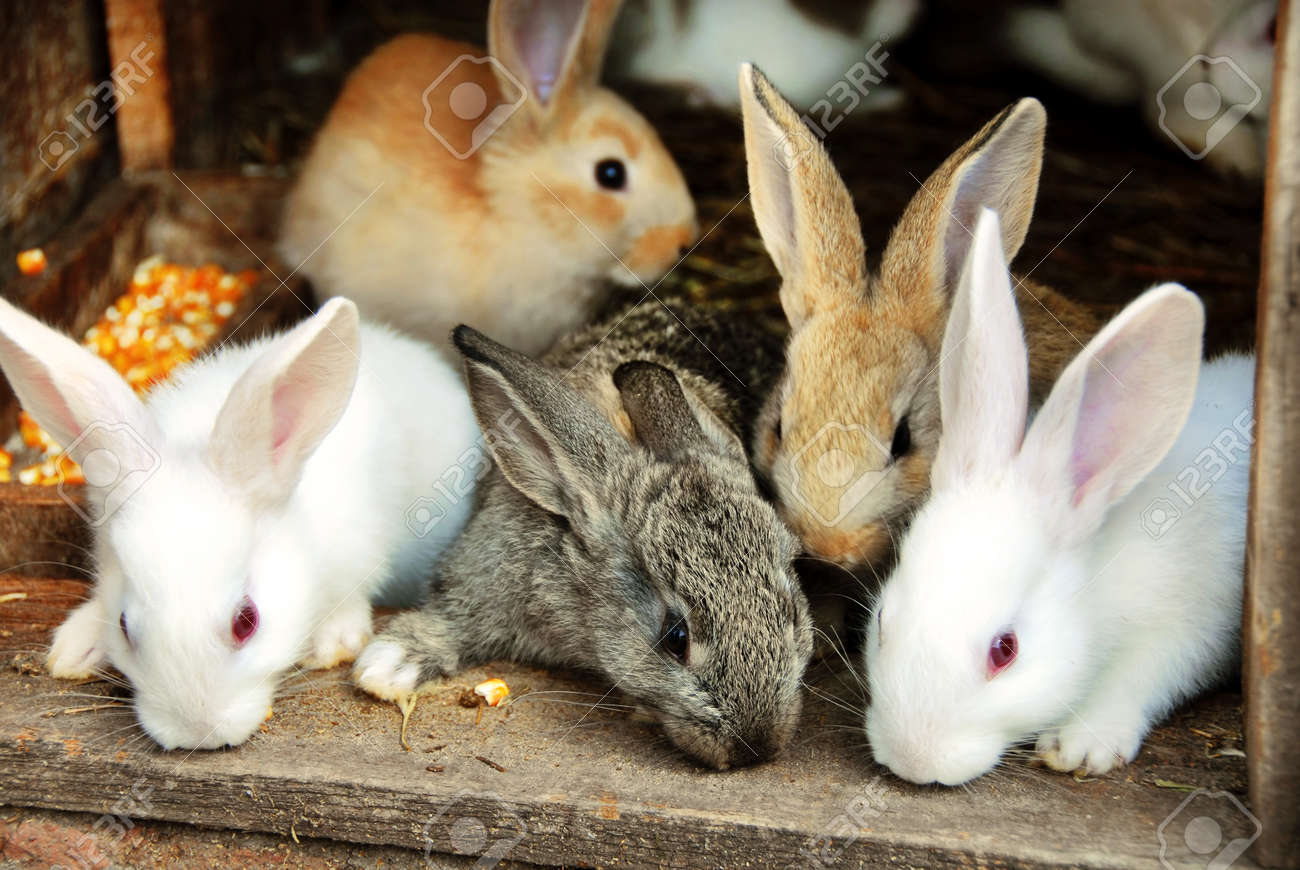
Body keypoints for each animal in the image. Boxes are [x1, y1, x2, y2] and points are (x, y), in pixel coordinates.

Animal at [863, 209, 1253, 785]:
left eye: (1005, 650)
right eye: (883, 620)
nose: (914, 762)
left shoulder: (1188, 628)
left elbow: (1139, 677)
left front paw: (1080, 746)